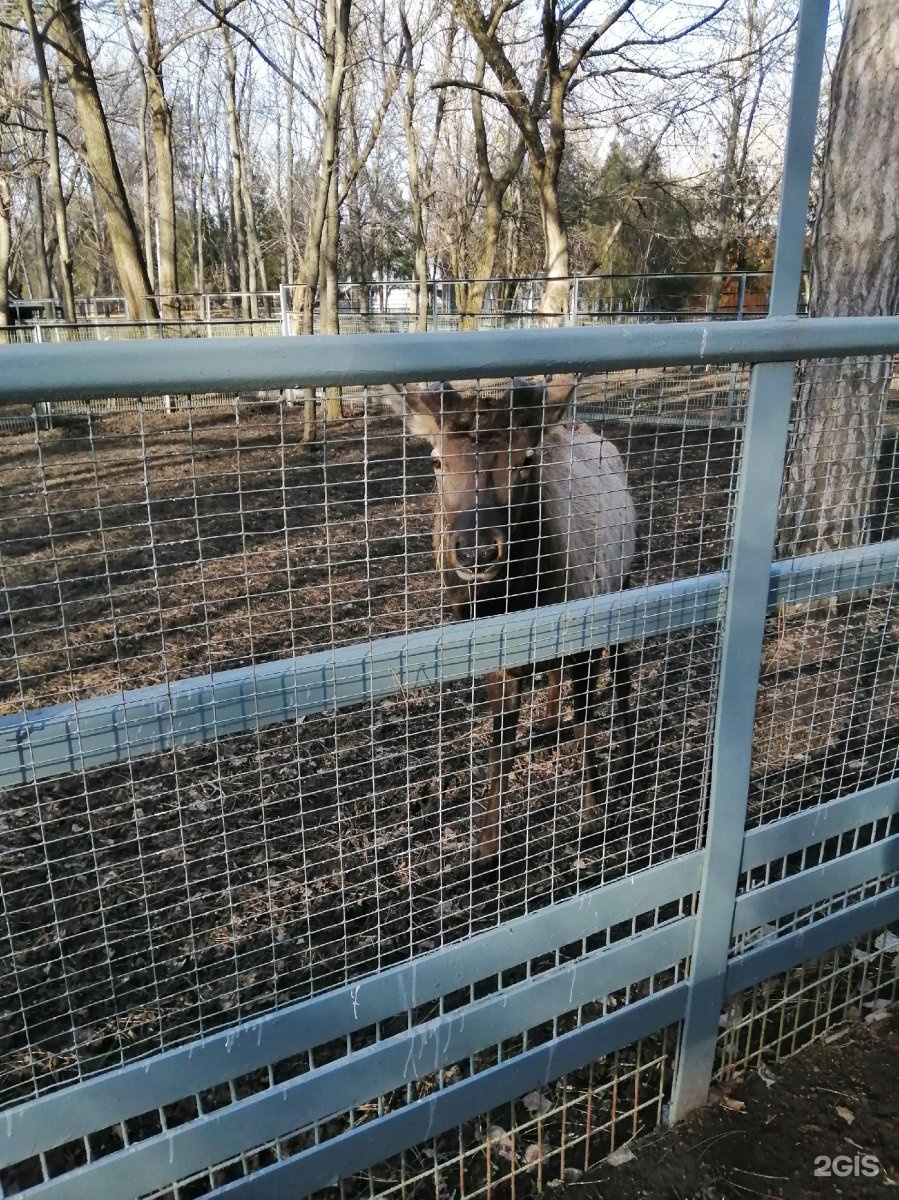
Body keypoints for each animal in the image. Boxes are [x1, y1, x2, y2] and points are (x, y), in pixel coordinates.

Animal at [388, 374, 633, 864]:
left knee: (620, 663)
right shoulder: (491, 659)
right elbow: (499, 741)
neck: (516, 600)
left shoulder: (583, 631)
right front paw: (488, 848)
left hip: (625, 579)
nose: (477, 552)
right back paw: (550, 722)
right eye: (437, 461)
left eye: (524, 461)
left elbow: (585, 720)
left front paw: (594, 816)